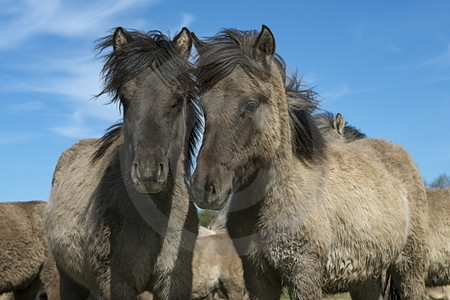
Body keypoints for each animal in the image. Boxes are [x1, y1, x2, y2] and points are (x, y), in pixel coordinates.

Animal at [45, 26, 200, 300]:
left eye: (177, 99)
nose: (148, 173)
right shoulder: (116, 284)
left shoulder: (176, 282)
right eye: (124, 99)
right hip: (67, 280)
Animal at [188, 26, 428, 300]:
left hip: (409, 266)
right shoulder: (258, 277)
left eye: (251, 104)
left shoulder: (304, 273)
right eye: (204, 106)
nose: (204, 188)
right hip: (366, 278)